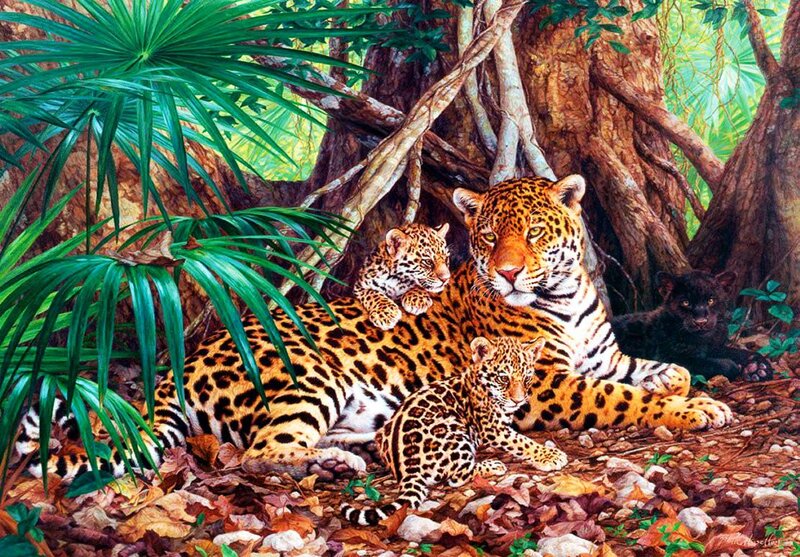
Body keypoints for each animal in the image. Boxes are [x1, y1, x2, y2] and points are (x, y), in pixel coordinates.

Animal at [18, 175, 733, 484]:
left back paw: (362, 449)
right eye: (488, 237)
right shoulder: (548, 385)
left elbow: (654, 370)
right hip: (311, 376)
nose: (507, 273)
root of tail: (174, 368)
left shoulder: (600, 356)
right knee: (263, 453)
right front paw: (694, 410)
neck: (563, 293)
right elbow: (625, 398)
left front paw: (693, 388)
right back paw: (332, 462)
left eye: (532, 234)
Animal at [341, 336, 568, 526]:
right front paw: (550, 456)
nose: (518, 400)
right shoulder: (492, 428)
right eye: (503, 378)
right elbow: (521, 442)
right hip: (453, 429)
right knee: (457, 475)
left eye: (527, 378)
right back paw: (493, 465)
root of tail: (406, 468)